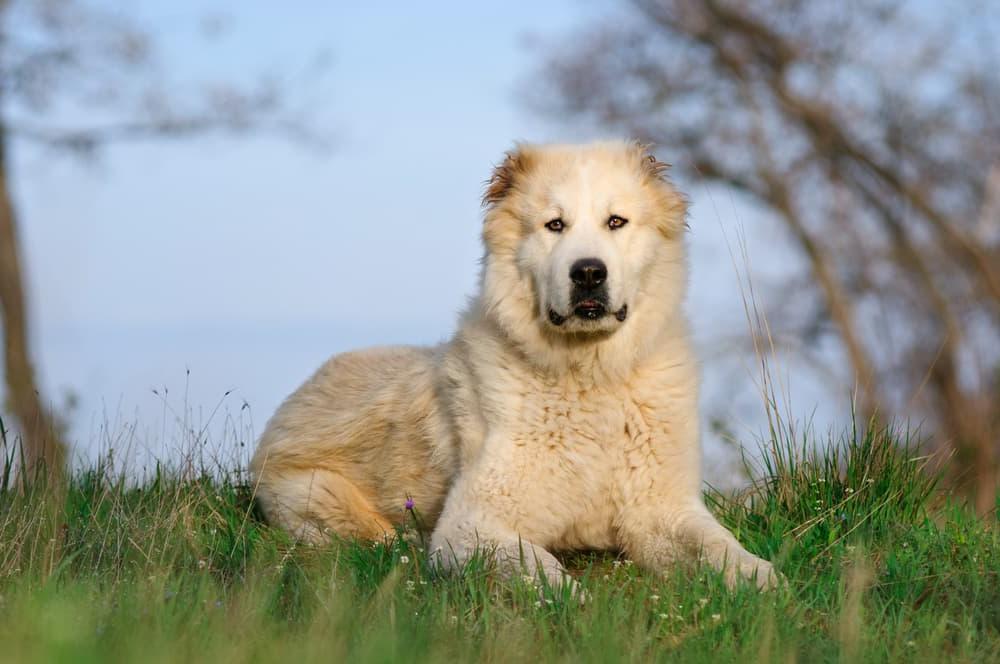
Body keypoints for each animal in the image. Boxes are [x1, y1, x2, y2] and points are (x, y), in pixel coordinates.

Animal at [248, 139, 772, 588]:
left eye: (615, 222)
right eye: (555, 225)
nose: (588, 273)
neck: (590, 379)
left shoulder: (663, 511)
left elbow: (722, 549)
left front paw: (763, 583)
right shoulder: (473, 522)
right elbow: (537, 565)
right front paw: (565, 600)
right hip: (322, 501)